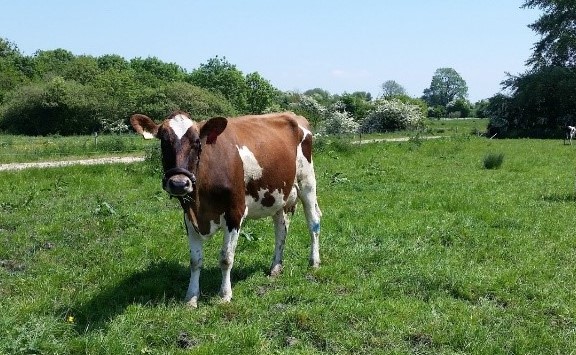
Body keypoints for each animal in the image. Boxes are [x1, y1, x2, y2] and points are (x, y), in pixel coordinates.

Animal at [128, 111, 322, 308]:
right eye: (164, 141)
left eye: (197, 142)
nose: (179, 183)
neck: (200, 205)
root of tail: (293, 115)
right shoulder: (189, 217)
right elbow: (195, 260)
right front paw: (191, 298)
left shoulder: (235, 213)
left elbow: (226, 258)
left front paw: (224, 295)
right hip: (279, 195)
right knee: (281, 230)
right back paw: (276, 267)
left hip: (307, 182)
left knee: (313, 221)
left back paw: (314, 262)